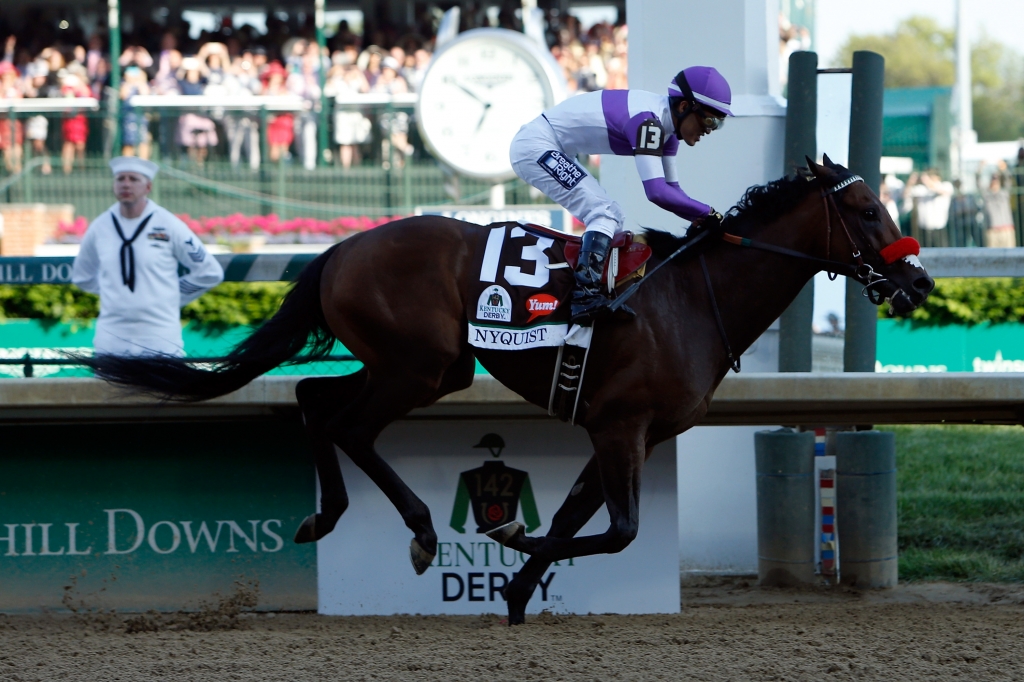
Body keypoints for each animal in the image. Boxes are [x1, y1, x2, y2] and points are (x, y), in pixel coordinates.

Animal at [86, 157, 937, 622]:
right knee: (349, 423)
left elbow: (575, 515)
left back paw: (328, 516)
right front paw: (512, 547)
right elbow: (617, 529)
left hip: (415, 364)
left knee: (314, 404)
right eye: (868, 209)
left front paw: (520, 588)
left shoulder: (629, 429)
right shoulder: (621, 425)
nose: (919, 281)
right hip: (423, 365)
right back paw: (418, 531)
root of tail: (342, 248)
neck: (692, 299)